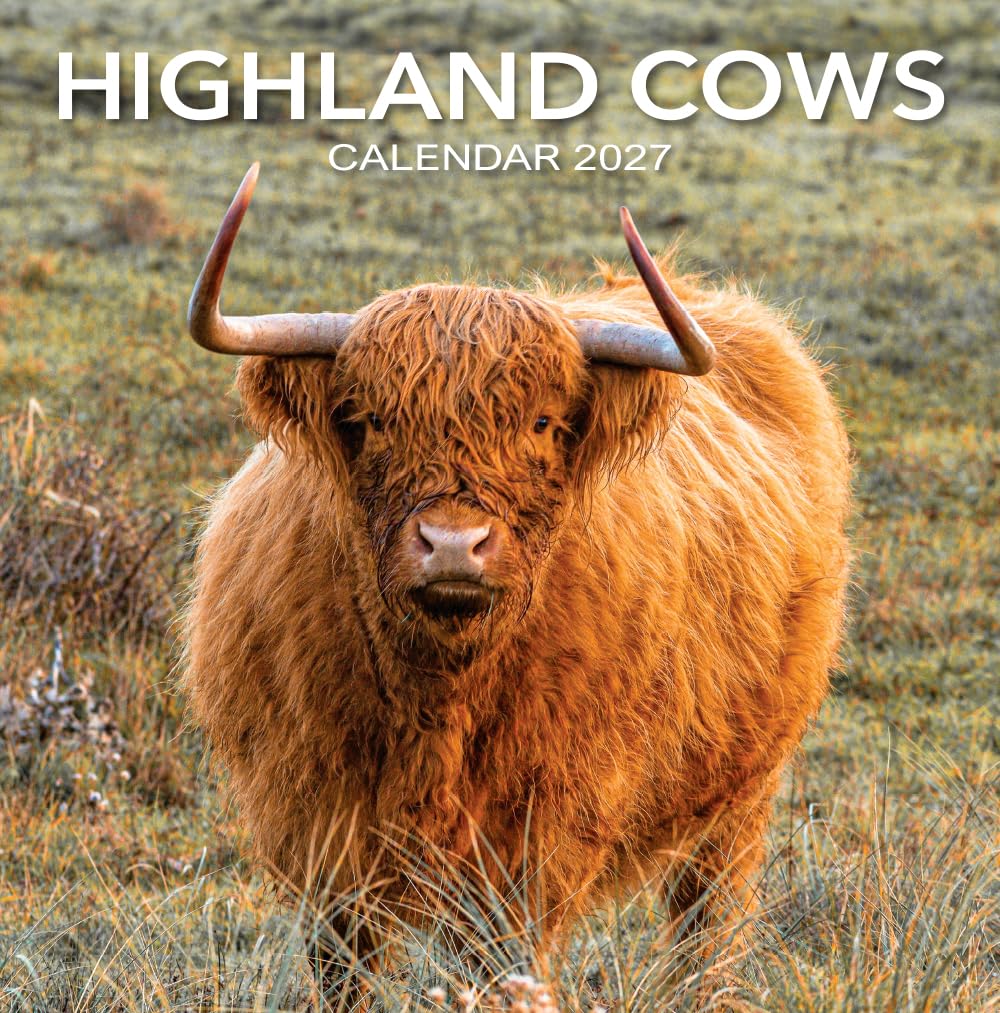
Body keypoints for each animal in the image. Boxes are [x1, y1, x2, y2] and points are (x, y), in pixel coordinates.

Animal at [181, 163, 851, 994]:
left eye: (541, 424)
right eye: (369, 421)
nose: (453, 545)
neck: (441, 690)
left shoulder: (532, 841)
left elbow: (502, 967)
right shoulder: (322, 835)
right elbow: (344, 970)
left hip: (740, 796)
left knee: (707, 926)